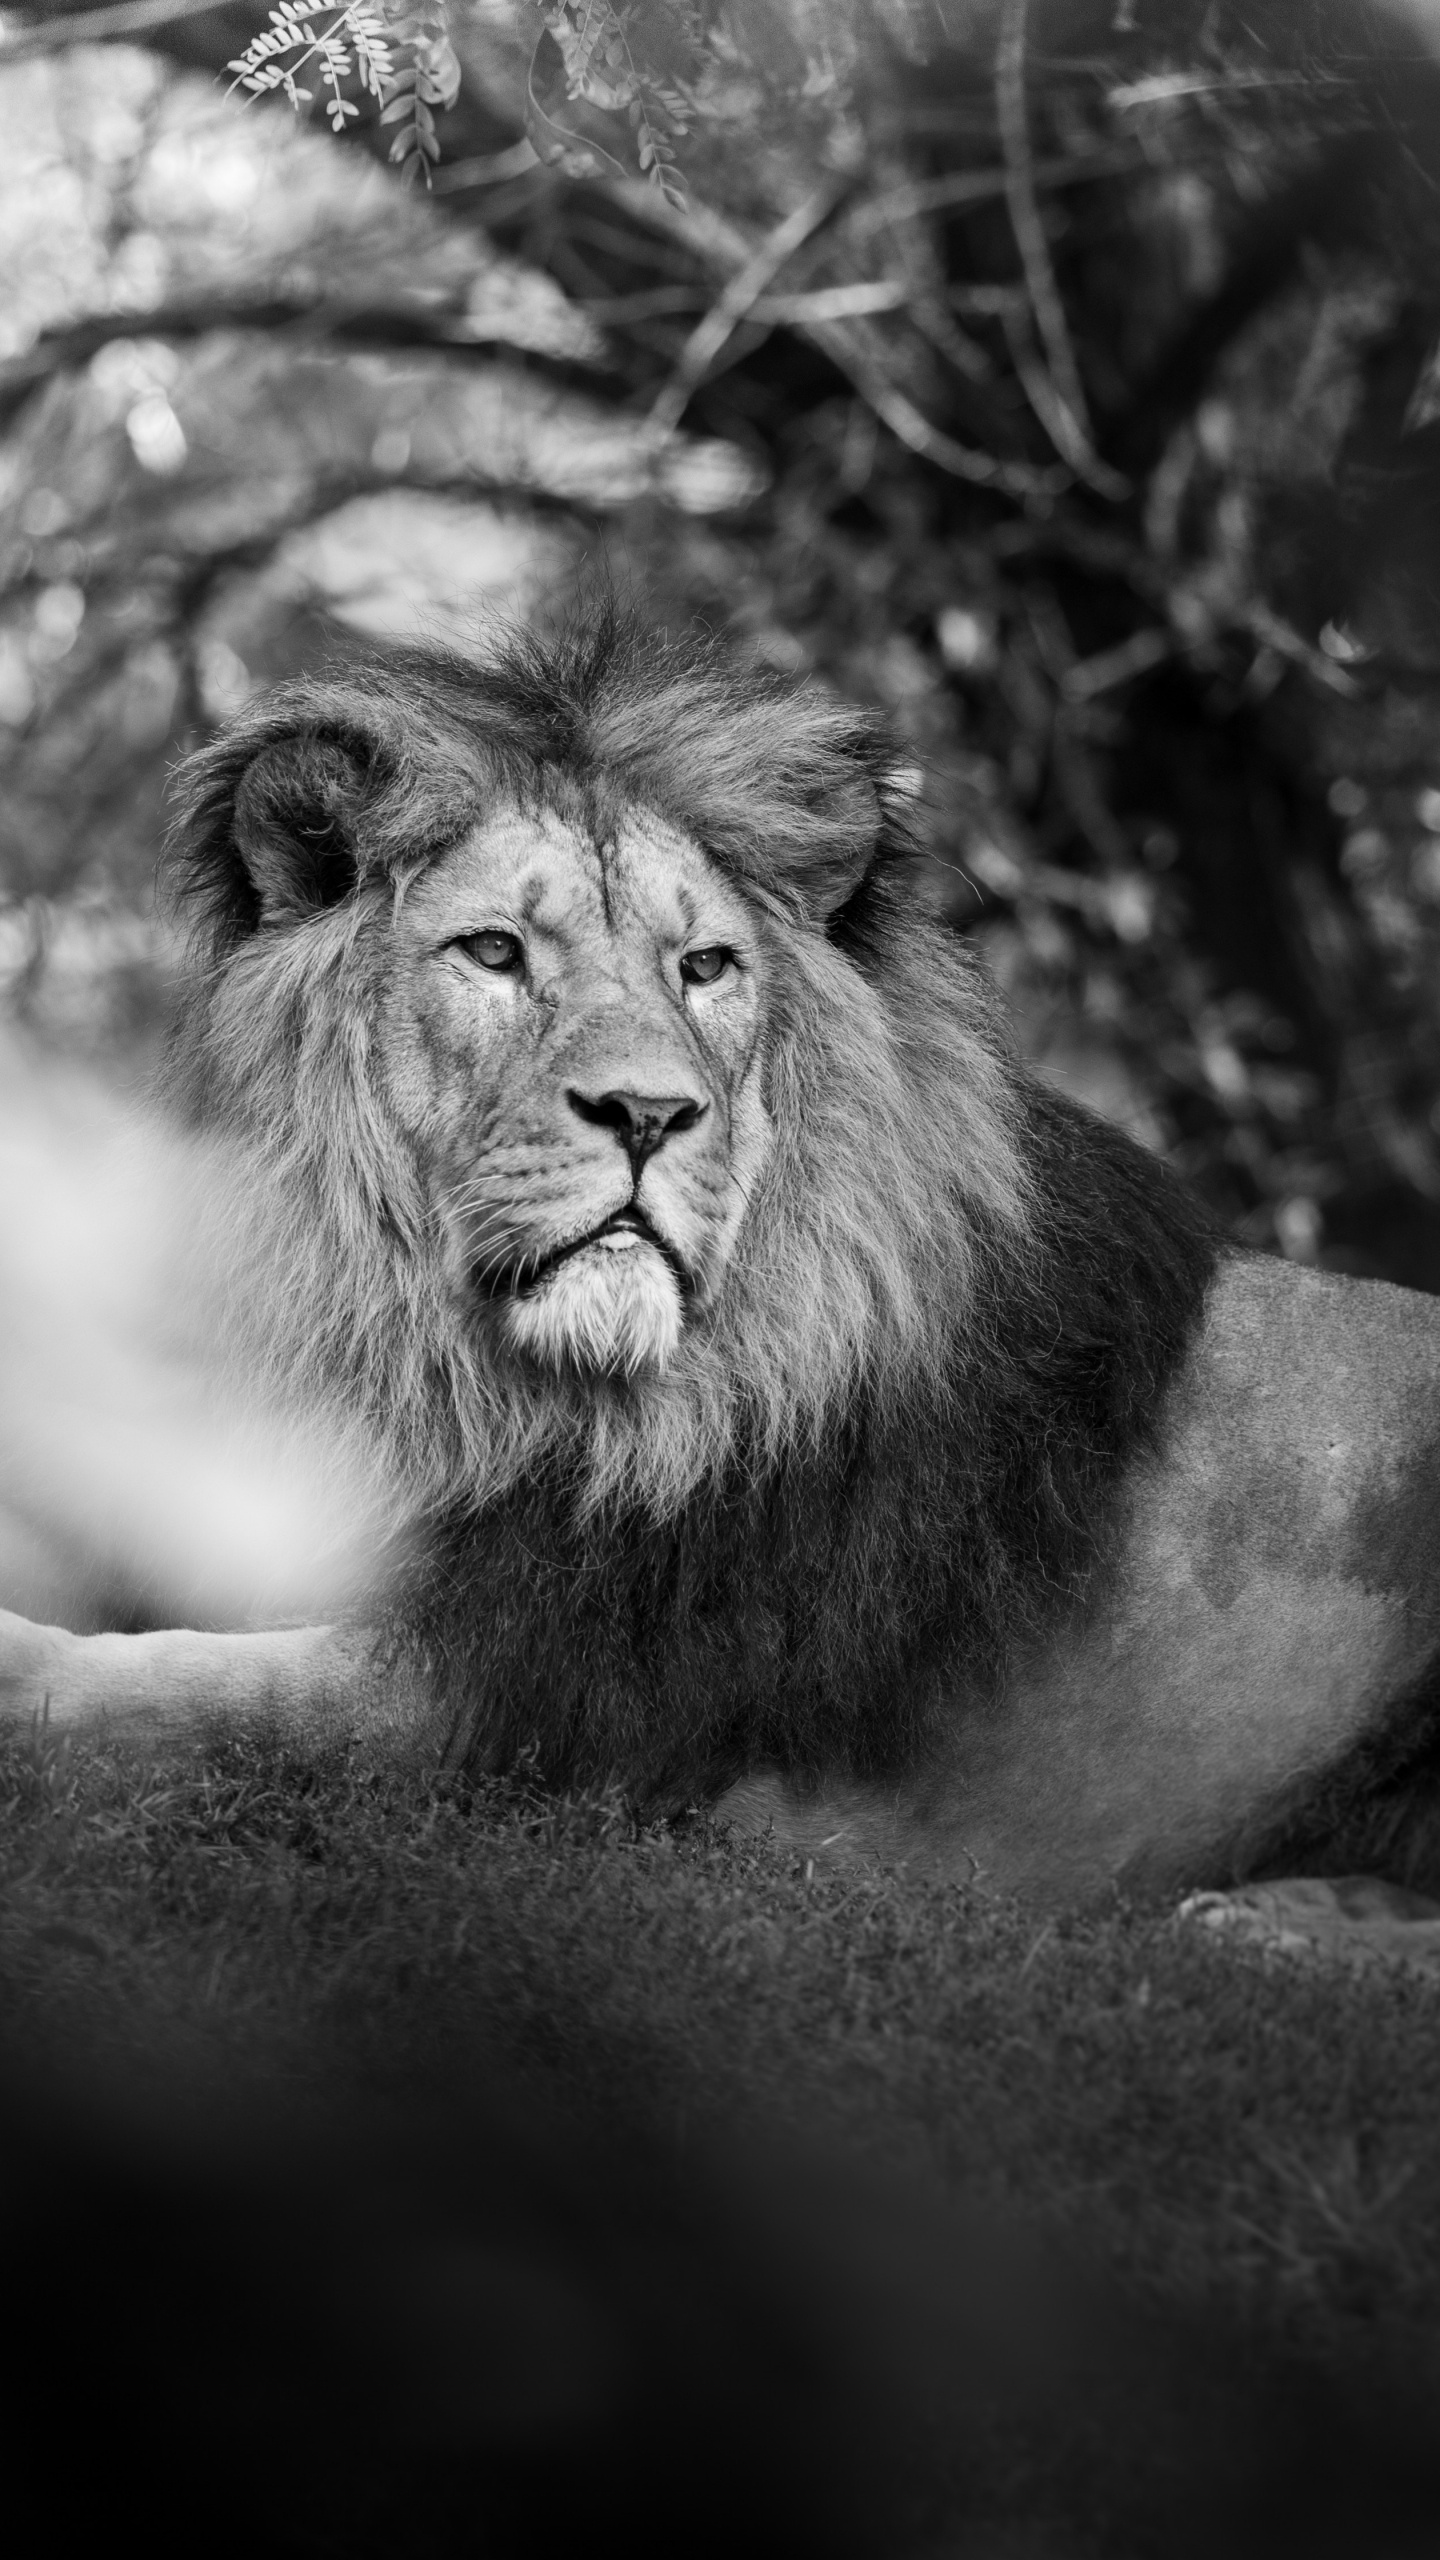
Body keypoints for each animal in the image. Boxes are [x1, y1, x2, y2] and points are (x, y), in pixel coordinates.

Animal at [5, 605, 1440, 1913]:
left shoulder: (533, 1712)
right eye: (494, 952)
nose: (648, 1113)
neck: (463, 1381)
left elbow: (220, 1704)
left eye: (702, 968)